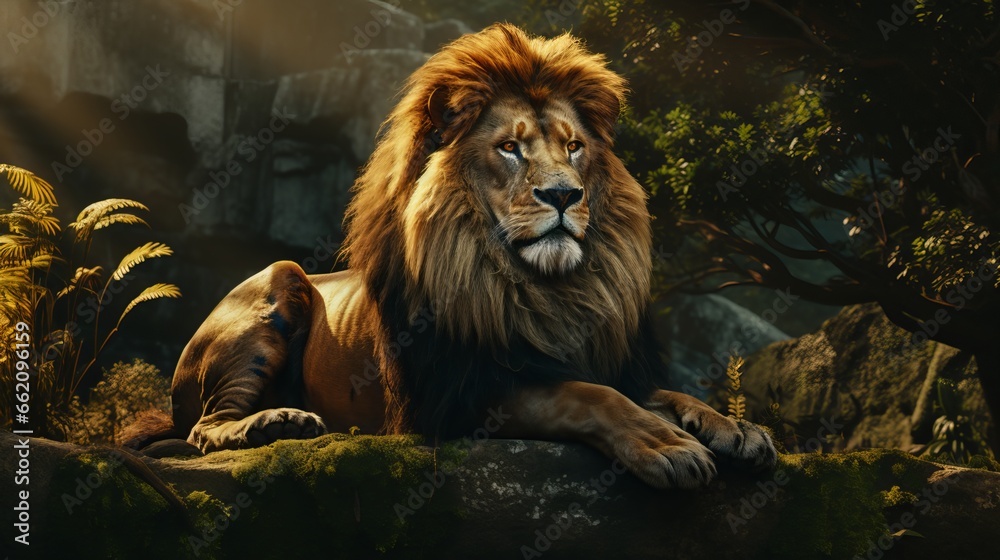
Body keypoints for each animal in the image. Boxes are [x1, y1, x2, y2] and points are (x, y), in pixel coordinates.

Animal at [134, 24, 776, 489]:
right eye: (510, 148)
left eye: (573, 147)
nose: (565, 194)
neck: (545, 289)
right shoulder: (460, 396)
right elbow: (588, 395)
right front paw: (668, 445)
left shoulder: (607, 360)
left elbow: (661, 393)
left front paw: (735, 427)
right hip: (275, 281)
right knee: (203, 429)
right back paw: (277, 422)